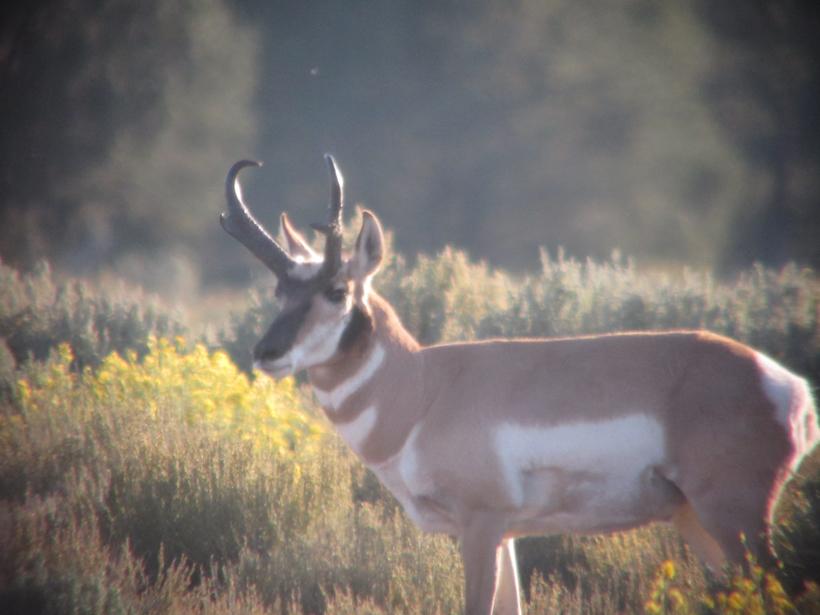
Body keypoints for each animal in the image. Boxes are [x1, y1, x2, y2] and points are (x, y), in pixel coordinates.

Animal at [221, 156, 819, 615]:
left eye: (337, 290)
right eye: (279, 291)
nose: (265, 353)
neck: (424, 390)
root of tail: (785, 384)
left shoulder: (482, 526)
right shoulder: (505, 534)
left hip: (735, 516)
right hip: (699, 521)